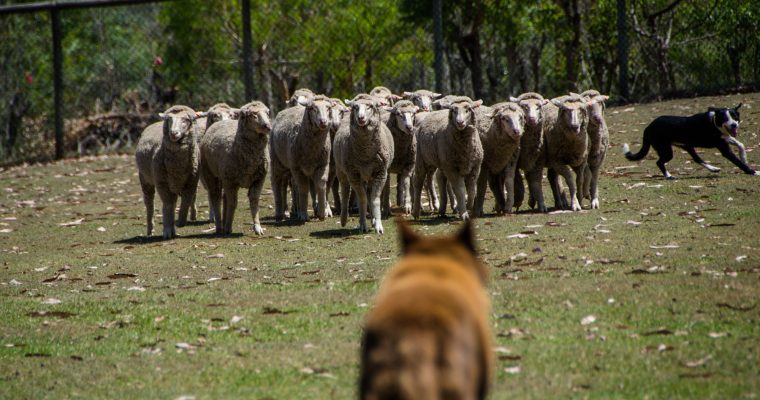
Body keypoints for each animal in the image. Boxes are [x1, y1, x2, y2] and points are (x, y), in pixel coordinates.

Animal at [134, 104, 205, 239]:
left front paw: (180, 222)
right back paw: (150, 230)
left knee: (173, 203)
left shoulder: (191, 182)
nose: (173, 133)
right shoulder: (162, 183)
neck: (177, 165)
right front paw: (167, 231)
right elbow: (167, 205)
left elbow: (185, 202)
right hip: (145, 178)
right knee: (150, 204)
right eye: (169, 120)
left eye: (186, 120)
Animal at [200, 101, 272, 236]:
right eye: (253, 115)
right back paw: (220, 226)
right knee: (216, 198)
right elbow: (233, 203)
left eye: (267, 113)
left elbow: (254, 201)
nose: (268, 126)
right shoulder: (231, 181)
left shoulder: (259, 179)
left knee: (224, 199)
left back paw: (225, 223)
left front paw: (257, 227)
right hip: (211, 174)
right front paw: (227, 226)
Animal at [334, 96, 394, 234]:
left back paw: (372, 219)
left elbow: (374, 199)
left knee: (368, 192)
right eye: (355, 107)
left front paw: (378, 225)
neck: (365, 154)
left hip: (368, 176)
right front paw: (363, 225)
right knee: (345, 191)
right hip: (341, 170)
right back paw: (344, 219)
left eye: (370, 106)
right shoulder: (353, 174)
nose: (360, 118)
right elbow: (362, 199)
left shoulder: (381, 173)